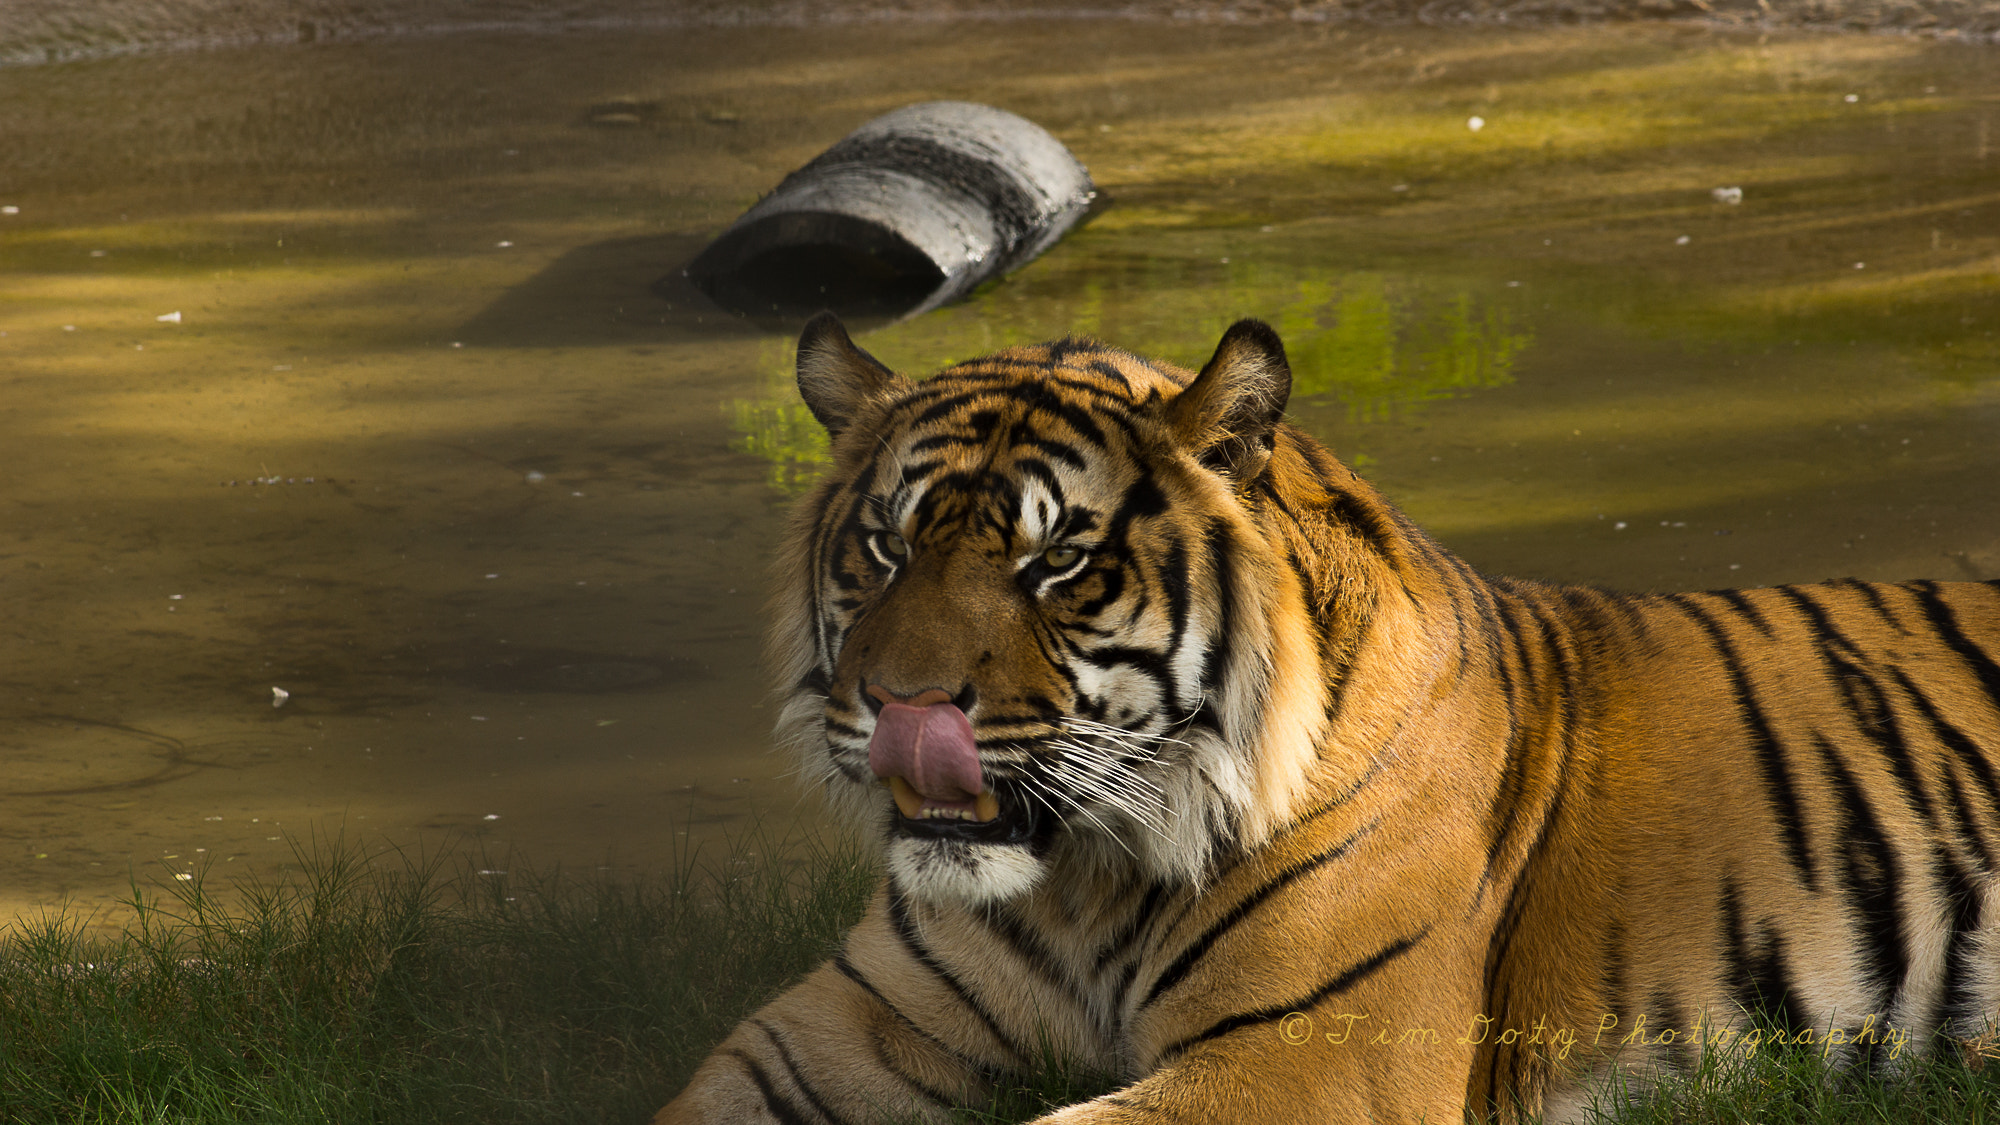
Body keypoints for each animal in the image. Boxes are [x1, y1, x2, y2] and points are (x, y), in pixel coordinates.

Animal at [656, 313, 2000, 1124]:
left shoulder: (1307, 1060)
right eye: (885, 550)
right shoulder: (839, 1028)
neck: (1076, 880)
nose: (899, 705)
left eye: (1057, 562)